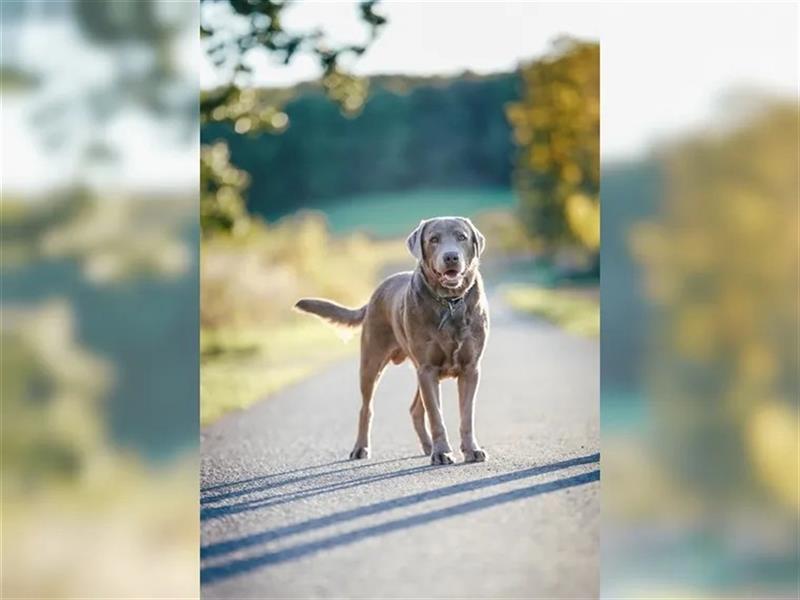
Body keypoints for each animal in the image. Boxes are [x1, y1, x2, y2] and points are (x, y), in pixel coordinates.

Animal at [296, 216, 488, 464]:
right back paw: (361, 448)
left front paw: (471, 450)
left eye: (462, 237)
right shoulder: (427, 369)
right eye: (434, 239)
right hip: (372, 362)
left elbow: (467, 415)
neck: (450, 302)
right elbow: (436, 415)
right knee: (366, 408)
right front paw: (442, 452)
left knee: (416, 409)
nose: (451, 256)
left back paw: (428, 447)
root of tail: (374, 295)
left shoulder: (470, 368)